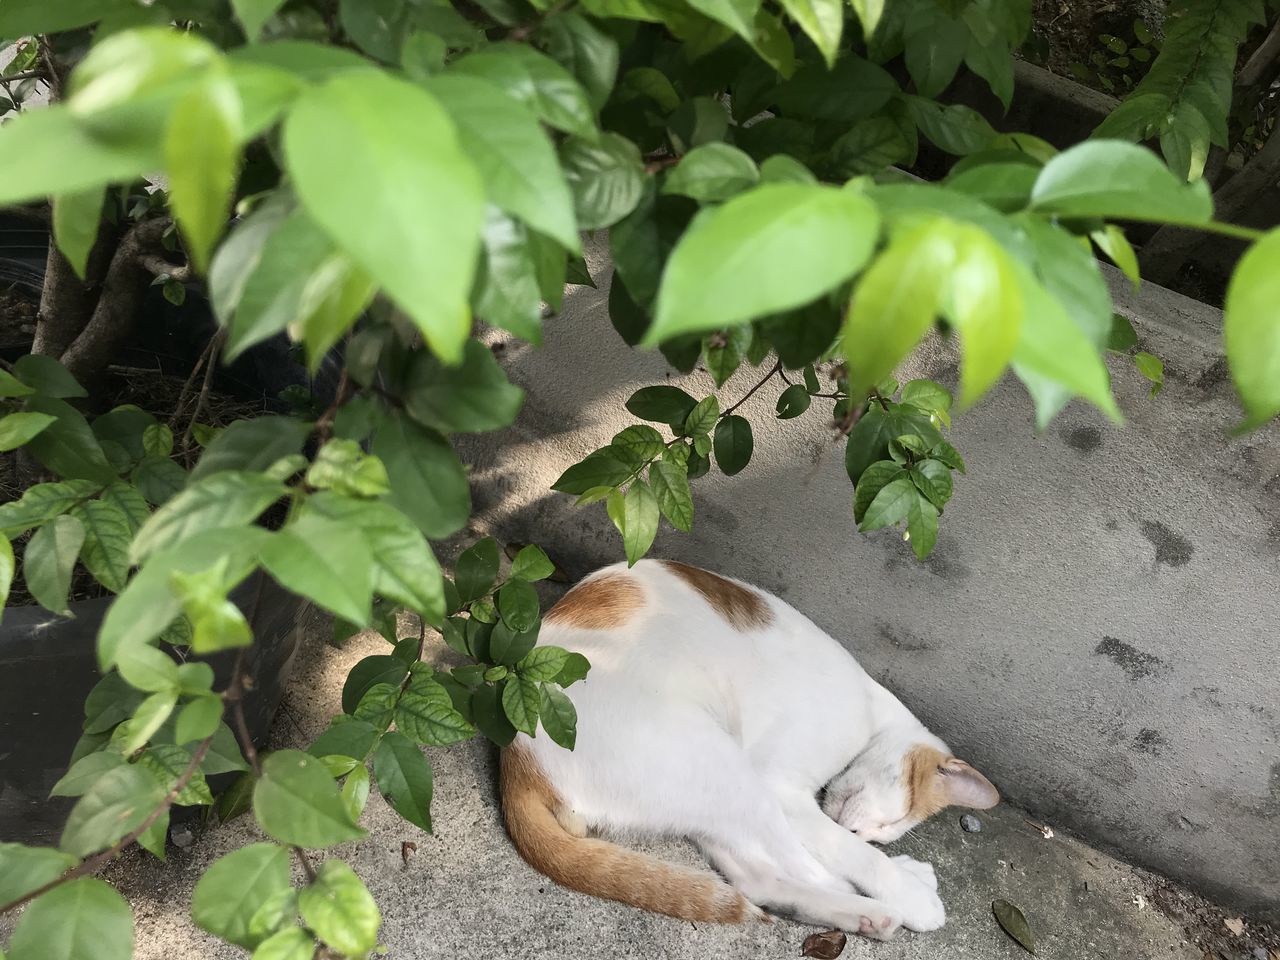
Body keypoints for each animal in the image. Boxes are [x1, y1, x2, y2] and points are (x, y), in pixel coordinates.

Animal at [499, 560, 998, 942]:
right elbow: (853, 855)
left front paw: (892, 867)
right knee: (802, 866)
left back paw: (864, 915)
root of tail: (516, 759)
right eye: (894, 820)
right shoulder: (782, 787)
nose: (863, 832)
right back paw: (887, 902)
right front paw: (907, 889)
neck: (872, 705)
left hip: (703, 791)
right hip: (725, 767)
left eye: (885, 829)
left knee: (757, 876)